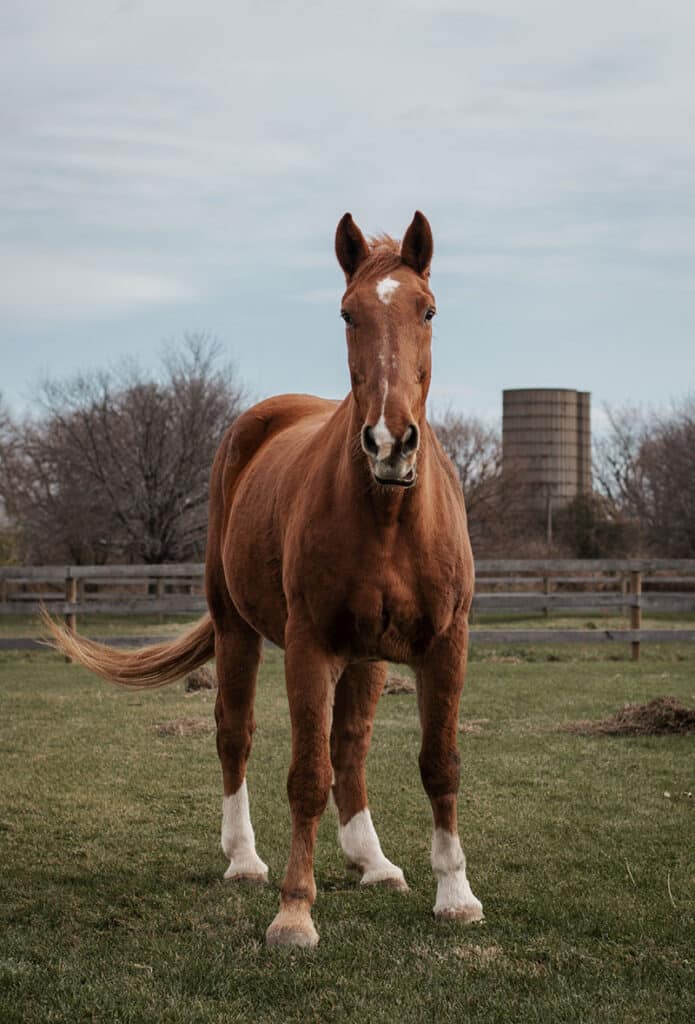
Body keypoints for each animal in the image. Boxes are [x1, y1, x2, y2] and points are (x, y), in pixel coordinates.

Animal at [44, 209, 483, 950]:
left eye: (427, 310)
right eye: (347, 313)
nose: (389, 442)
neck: (389, 512)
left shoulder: (445, 645)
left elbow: (438, 763)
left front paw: (454, 895)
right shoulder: (308, 646)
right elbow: (306, 775)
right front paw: (294, 912)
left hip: (365, 656)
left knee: (351, 749)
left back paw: (373, 862)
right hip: (237, 630)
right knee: (236, 732)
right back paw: (245, 859)